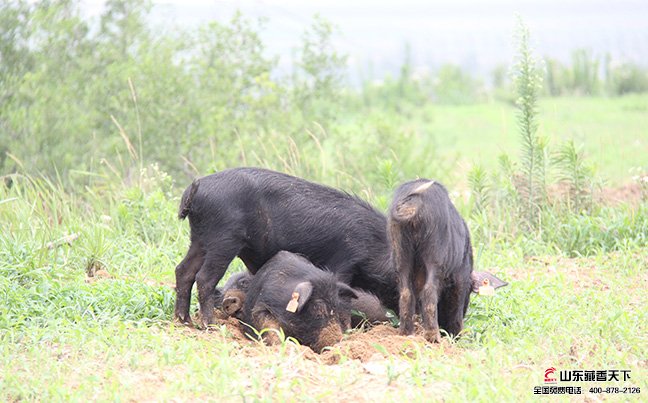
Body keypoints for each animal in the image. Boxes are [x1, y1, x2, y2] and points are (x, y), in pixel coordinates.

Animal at [388, 181, 474, 344]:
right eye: (471, 289)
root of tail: (412, 202)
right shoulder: (461, 278)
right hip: (435, 259)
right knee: (429, 291)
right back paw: (433, 336)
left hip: (400, 255)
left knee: (406, 293)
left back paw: (405, 333)